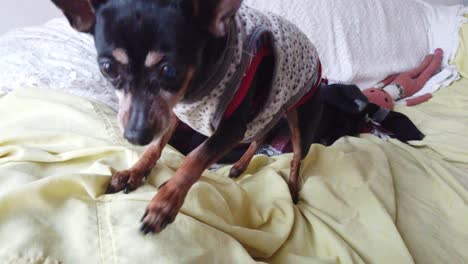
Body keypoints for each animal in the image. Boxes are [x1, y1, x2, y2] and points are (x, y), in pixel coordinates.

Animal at [51, 0, 424, 235]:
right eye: (107, 68)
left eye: (170, 70)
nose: (134, 134)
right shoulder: (174, 114)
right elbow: (157, 147)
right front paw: (134, 172)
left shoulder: (227, 128)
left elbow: (194, 159)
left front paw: (165, 202)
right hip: (267, 111)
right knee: (259, 137)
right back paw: (240, 166)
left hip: (299, 119)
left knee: (296, 158)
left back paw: (291, 189)